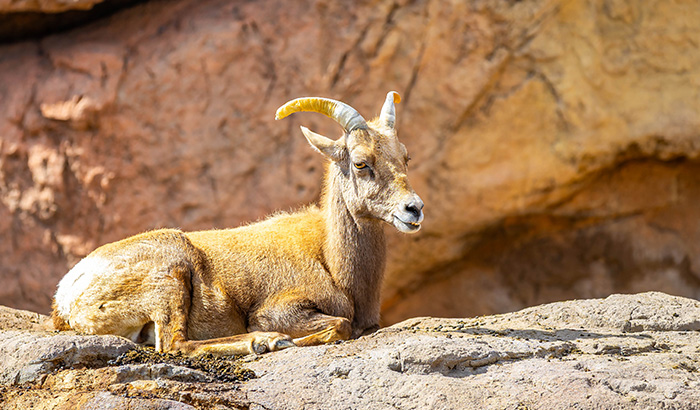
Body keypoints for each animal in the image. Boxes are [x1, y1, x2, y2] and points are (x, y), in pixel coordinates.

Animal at [51, 91, 424, 356]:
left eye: (405, 156)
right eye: (361, 163)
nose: (414, 209)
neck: (330, 259)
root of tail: (65, 300)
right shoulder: (277, 310)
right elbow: (342, 326)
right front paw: (284, 340)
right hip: (171, 277)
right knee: (175, 346)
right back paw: (265, 342)